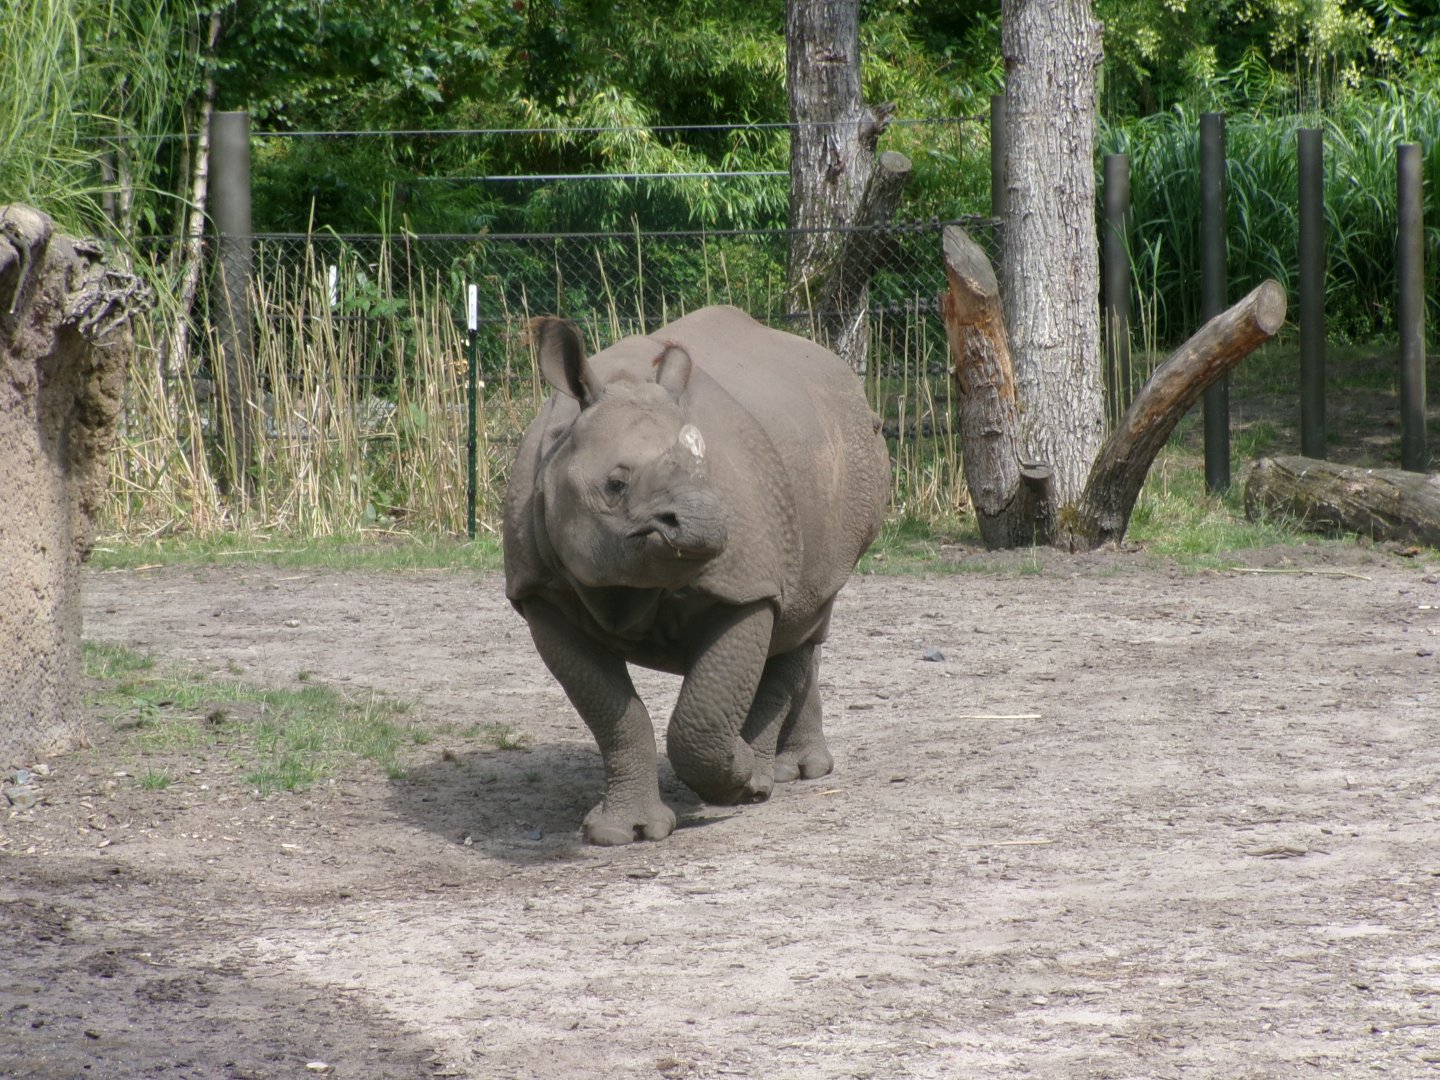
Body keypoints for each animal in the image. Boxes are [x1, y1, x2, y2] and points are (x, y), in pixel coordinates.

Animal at [503, 305, 889, 845]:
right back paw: (787, 769)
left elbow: (701, 716)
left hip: (852, 469)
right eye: (615, 485)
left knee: (805, 607)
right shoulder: (540, 591)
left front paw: (743, 777)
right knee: (801, 619)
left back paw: (773, 774)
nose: (706, 525)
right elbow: (614, 714)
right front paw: (621, 834)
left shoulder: (746, 584)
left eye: (709, 476)